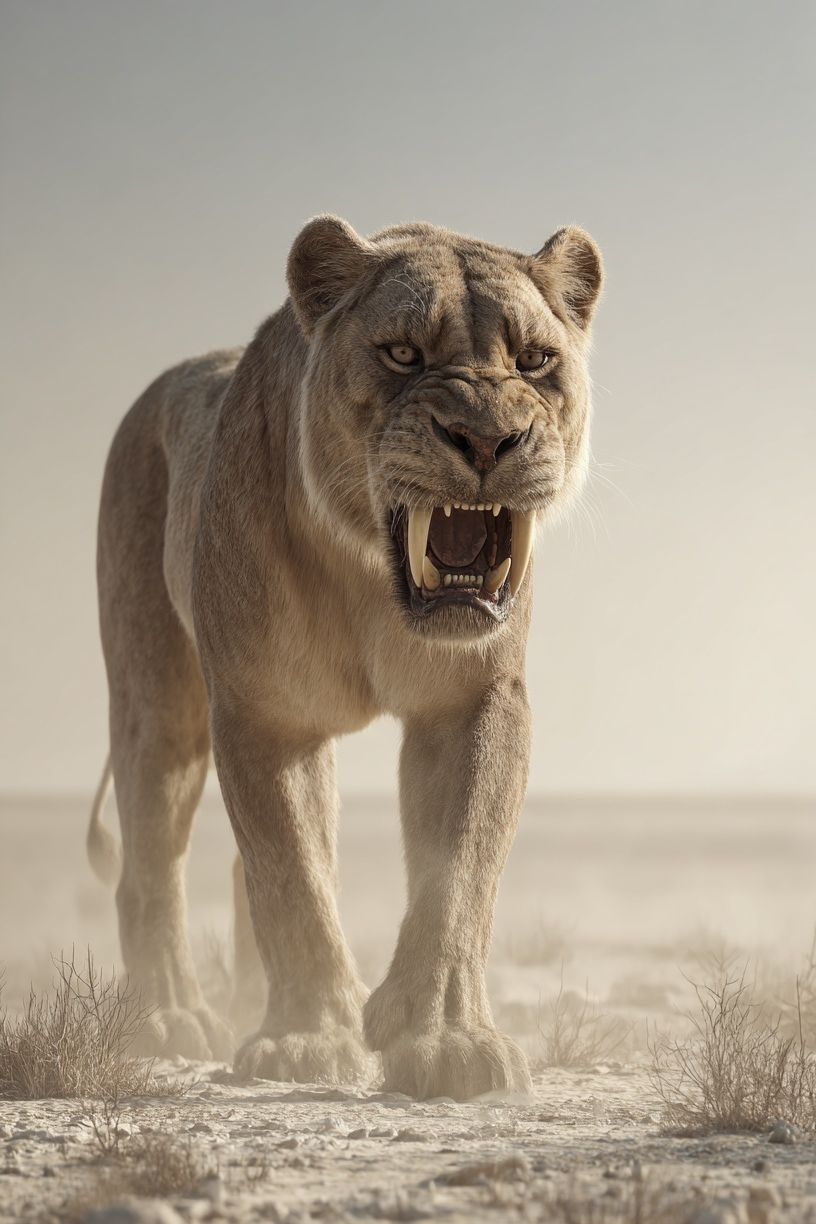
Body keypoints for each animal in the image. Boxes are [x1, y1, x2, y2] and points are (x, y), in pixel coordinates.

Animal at [87, 216, 603, 1100]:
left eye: (535, 360)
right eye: (402, 354)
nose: (488, 439)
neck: (373, 581)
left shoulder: (475, 698)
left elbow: (457, 872)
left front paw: (445, 1037)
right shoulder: (265, 713)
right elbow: (293, 877)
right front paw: (305, 1039)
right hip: (160, 707)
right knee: (150, 863)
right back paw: (169, 1019)